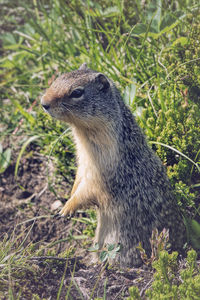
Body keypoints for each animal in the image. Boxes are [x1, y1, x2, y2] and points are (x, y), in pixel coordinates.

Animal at [41, 63, 186, 268]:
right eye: (59, 78)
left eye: (77, 92)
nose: (43, 103)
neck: (84, 134)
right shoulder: (84, 164)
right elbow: (78, 180)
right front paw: (68, 198)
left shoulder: (101, 171)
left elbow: (88, 191)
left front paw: (67, 208)